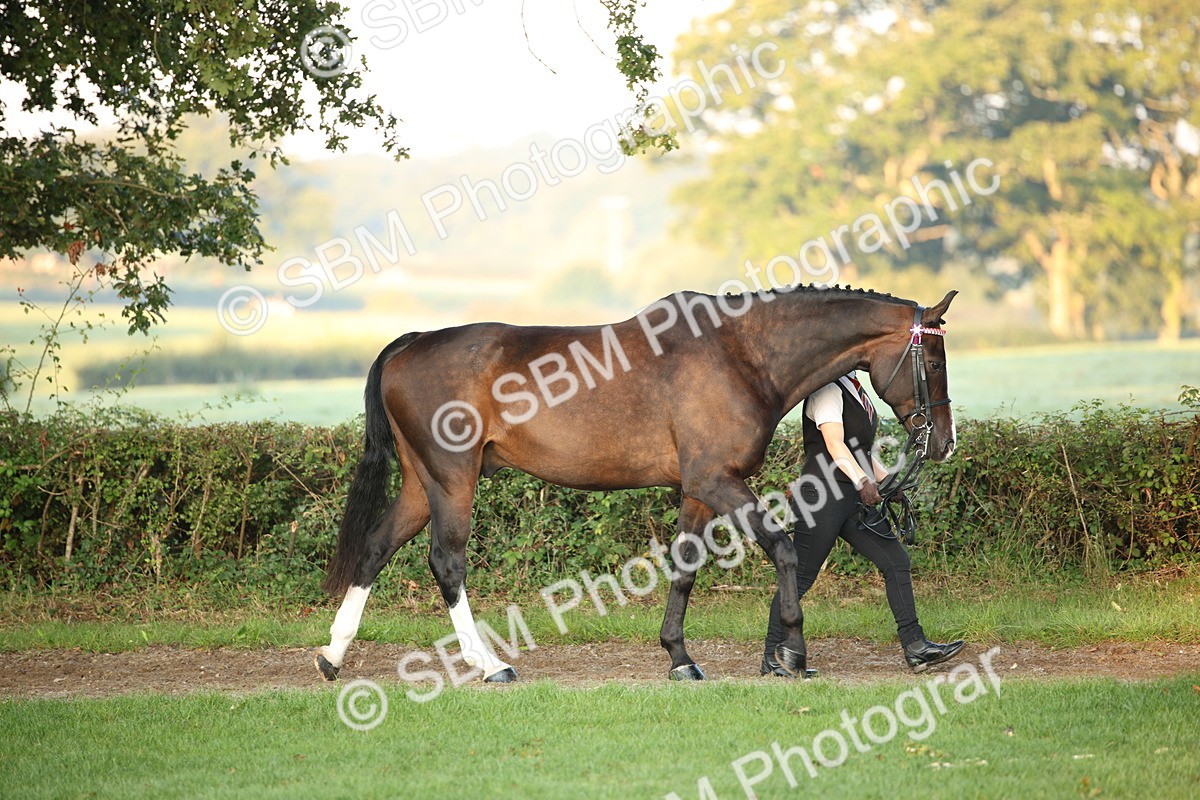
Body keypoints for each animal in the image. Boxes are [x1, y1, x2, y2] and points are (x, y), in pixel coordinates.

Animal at [313, 285, 958, 682]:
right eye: (934, 363)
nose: (943, 442)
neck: (740, 353)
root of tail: (411, 342)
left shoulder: (697, 488)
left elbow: (685, 565)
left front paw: (679, 656)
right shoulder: (717, 479)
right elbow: (781, 547)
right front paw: (792, 654)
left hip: (422, 484)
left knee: (375, 547)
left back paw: (332, 655)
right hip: (452, 480)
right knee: (446, 562)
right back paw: (490, 664)